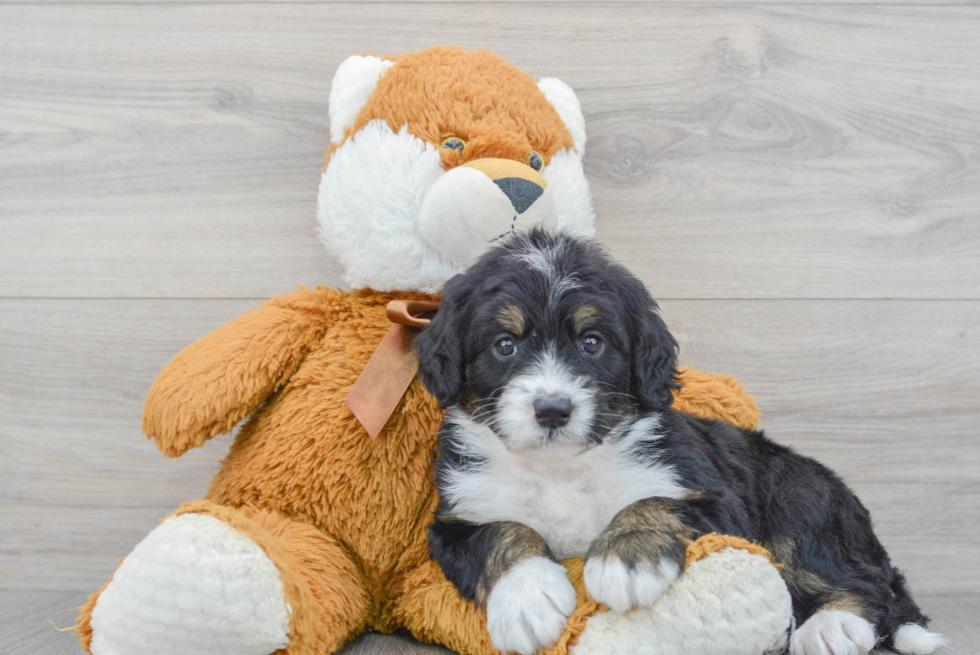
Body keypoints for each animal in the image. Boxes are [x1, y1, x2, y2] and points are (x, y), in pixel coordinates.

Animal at [412, 233, 940, 655]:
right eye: (505, 345)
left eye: (592, 342)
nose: (553, 410)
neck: (561, 469)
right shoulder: (457, 518)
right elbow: (502, 532)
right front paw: (527, 598)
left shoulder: (713, 495)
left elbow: (653, 503)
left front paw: (626, 559)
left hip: (802, 497)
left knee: (864, 583)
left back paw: (832, 627)